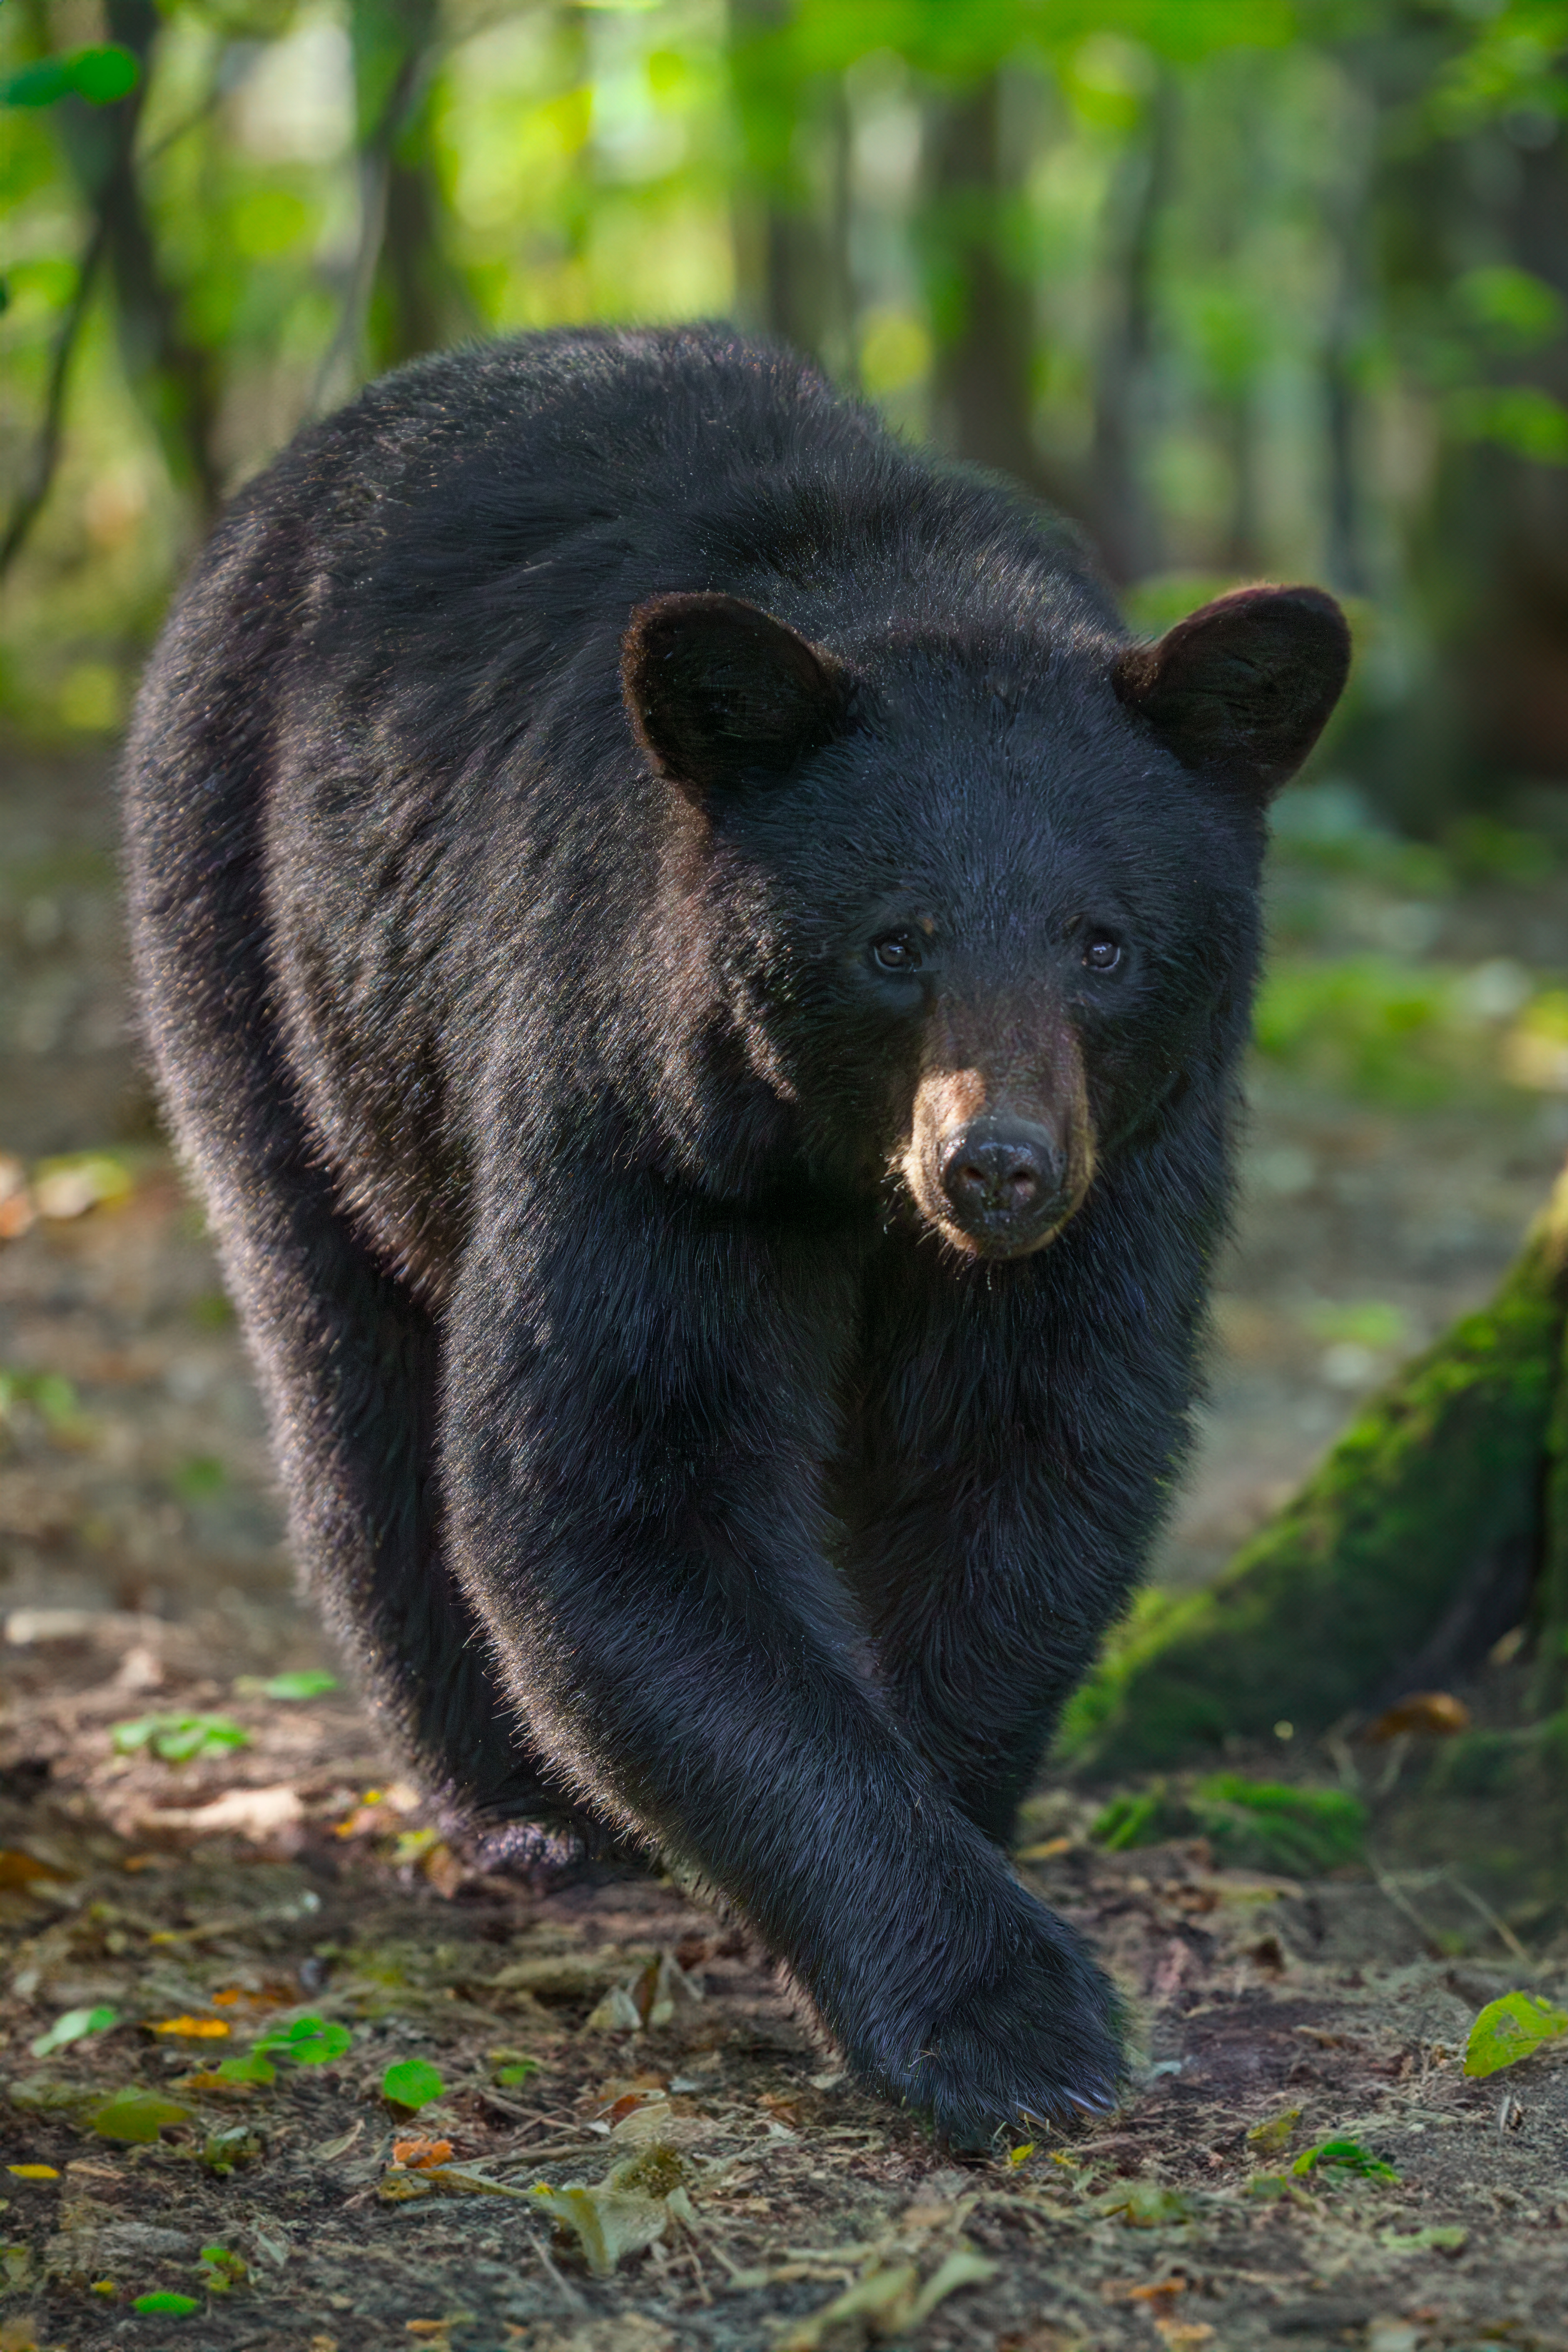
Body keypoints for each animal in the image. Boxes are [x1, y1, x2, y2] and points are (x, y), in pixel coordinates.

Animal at [122, 324, 1349, 2147]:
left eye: (1106, 942)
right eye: (896, 942)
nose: (996, 1167)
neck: (845, 1177)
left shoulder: (1133, 1173)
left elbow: (1030, 1463)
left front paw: (956, 1829)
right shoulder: (642, 1108)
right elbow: (621, 1482)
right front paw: (999, 2016)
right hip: (254, 949)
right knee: (347, 1365)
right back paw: (520, 1809)